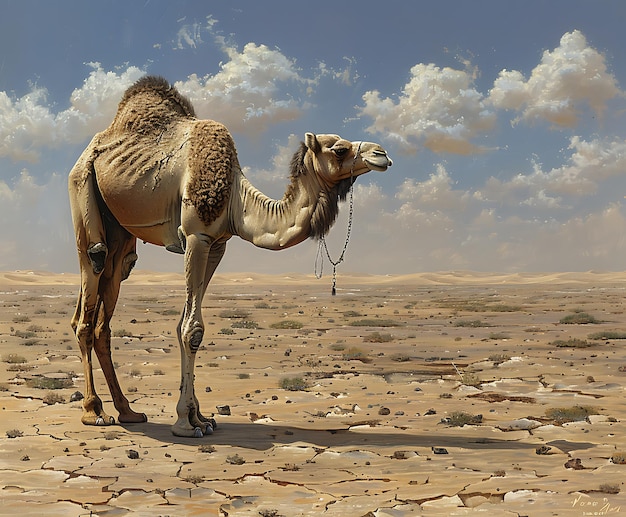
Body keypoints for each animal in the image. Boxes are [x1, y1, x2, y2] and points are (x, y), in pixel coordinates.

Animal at [68, 74, 390, 434]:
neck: (237, 197)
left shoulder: (218, 243)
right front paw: (185, 423)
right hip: (82, 187)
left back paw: (128, 411)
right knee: (91, 276)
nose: (381, 154)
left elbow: (183, 324)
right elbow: (191, 329)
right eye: (339, 148)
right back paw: (95, 411)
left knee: (111, 291)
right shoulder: (196, 235)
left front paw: (202, 417)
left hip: (120, 230)